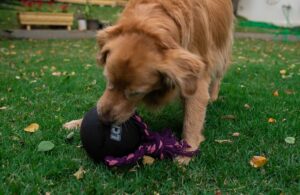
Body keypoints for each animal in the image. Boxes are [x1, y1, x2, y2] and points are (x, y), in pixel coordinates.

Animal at [64, 0, 234, 165]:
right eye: (108, 80)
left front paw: (188, 150)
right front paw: (78, 122)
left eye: (136, 93)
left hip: (221, 51)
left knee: (218, 77)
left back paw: (213, 97)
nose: (104, 120)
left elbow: (192, 118)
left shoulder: (197, 75)